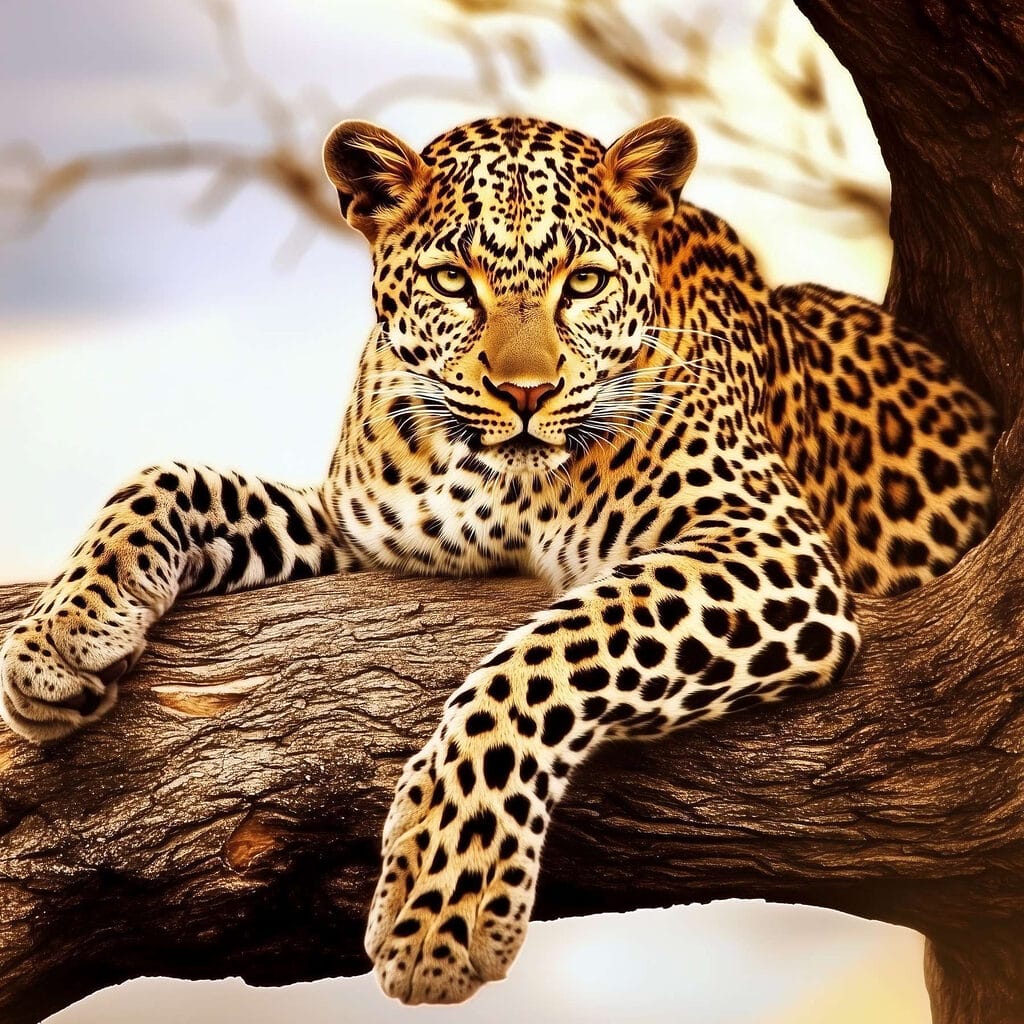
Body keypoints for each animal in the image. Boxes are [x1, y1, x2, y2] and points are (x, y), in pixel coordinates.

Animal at [0, 115, 996, 1005]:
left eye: (584, 282)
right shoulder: (354, 534)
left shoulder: (765, 543)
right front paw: (58, 638)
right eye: (453, 279)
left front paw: (445, 899)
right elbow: (172, 477)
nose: (526, 393)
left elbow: (554, 652)